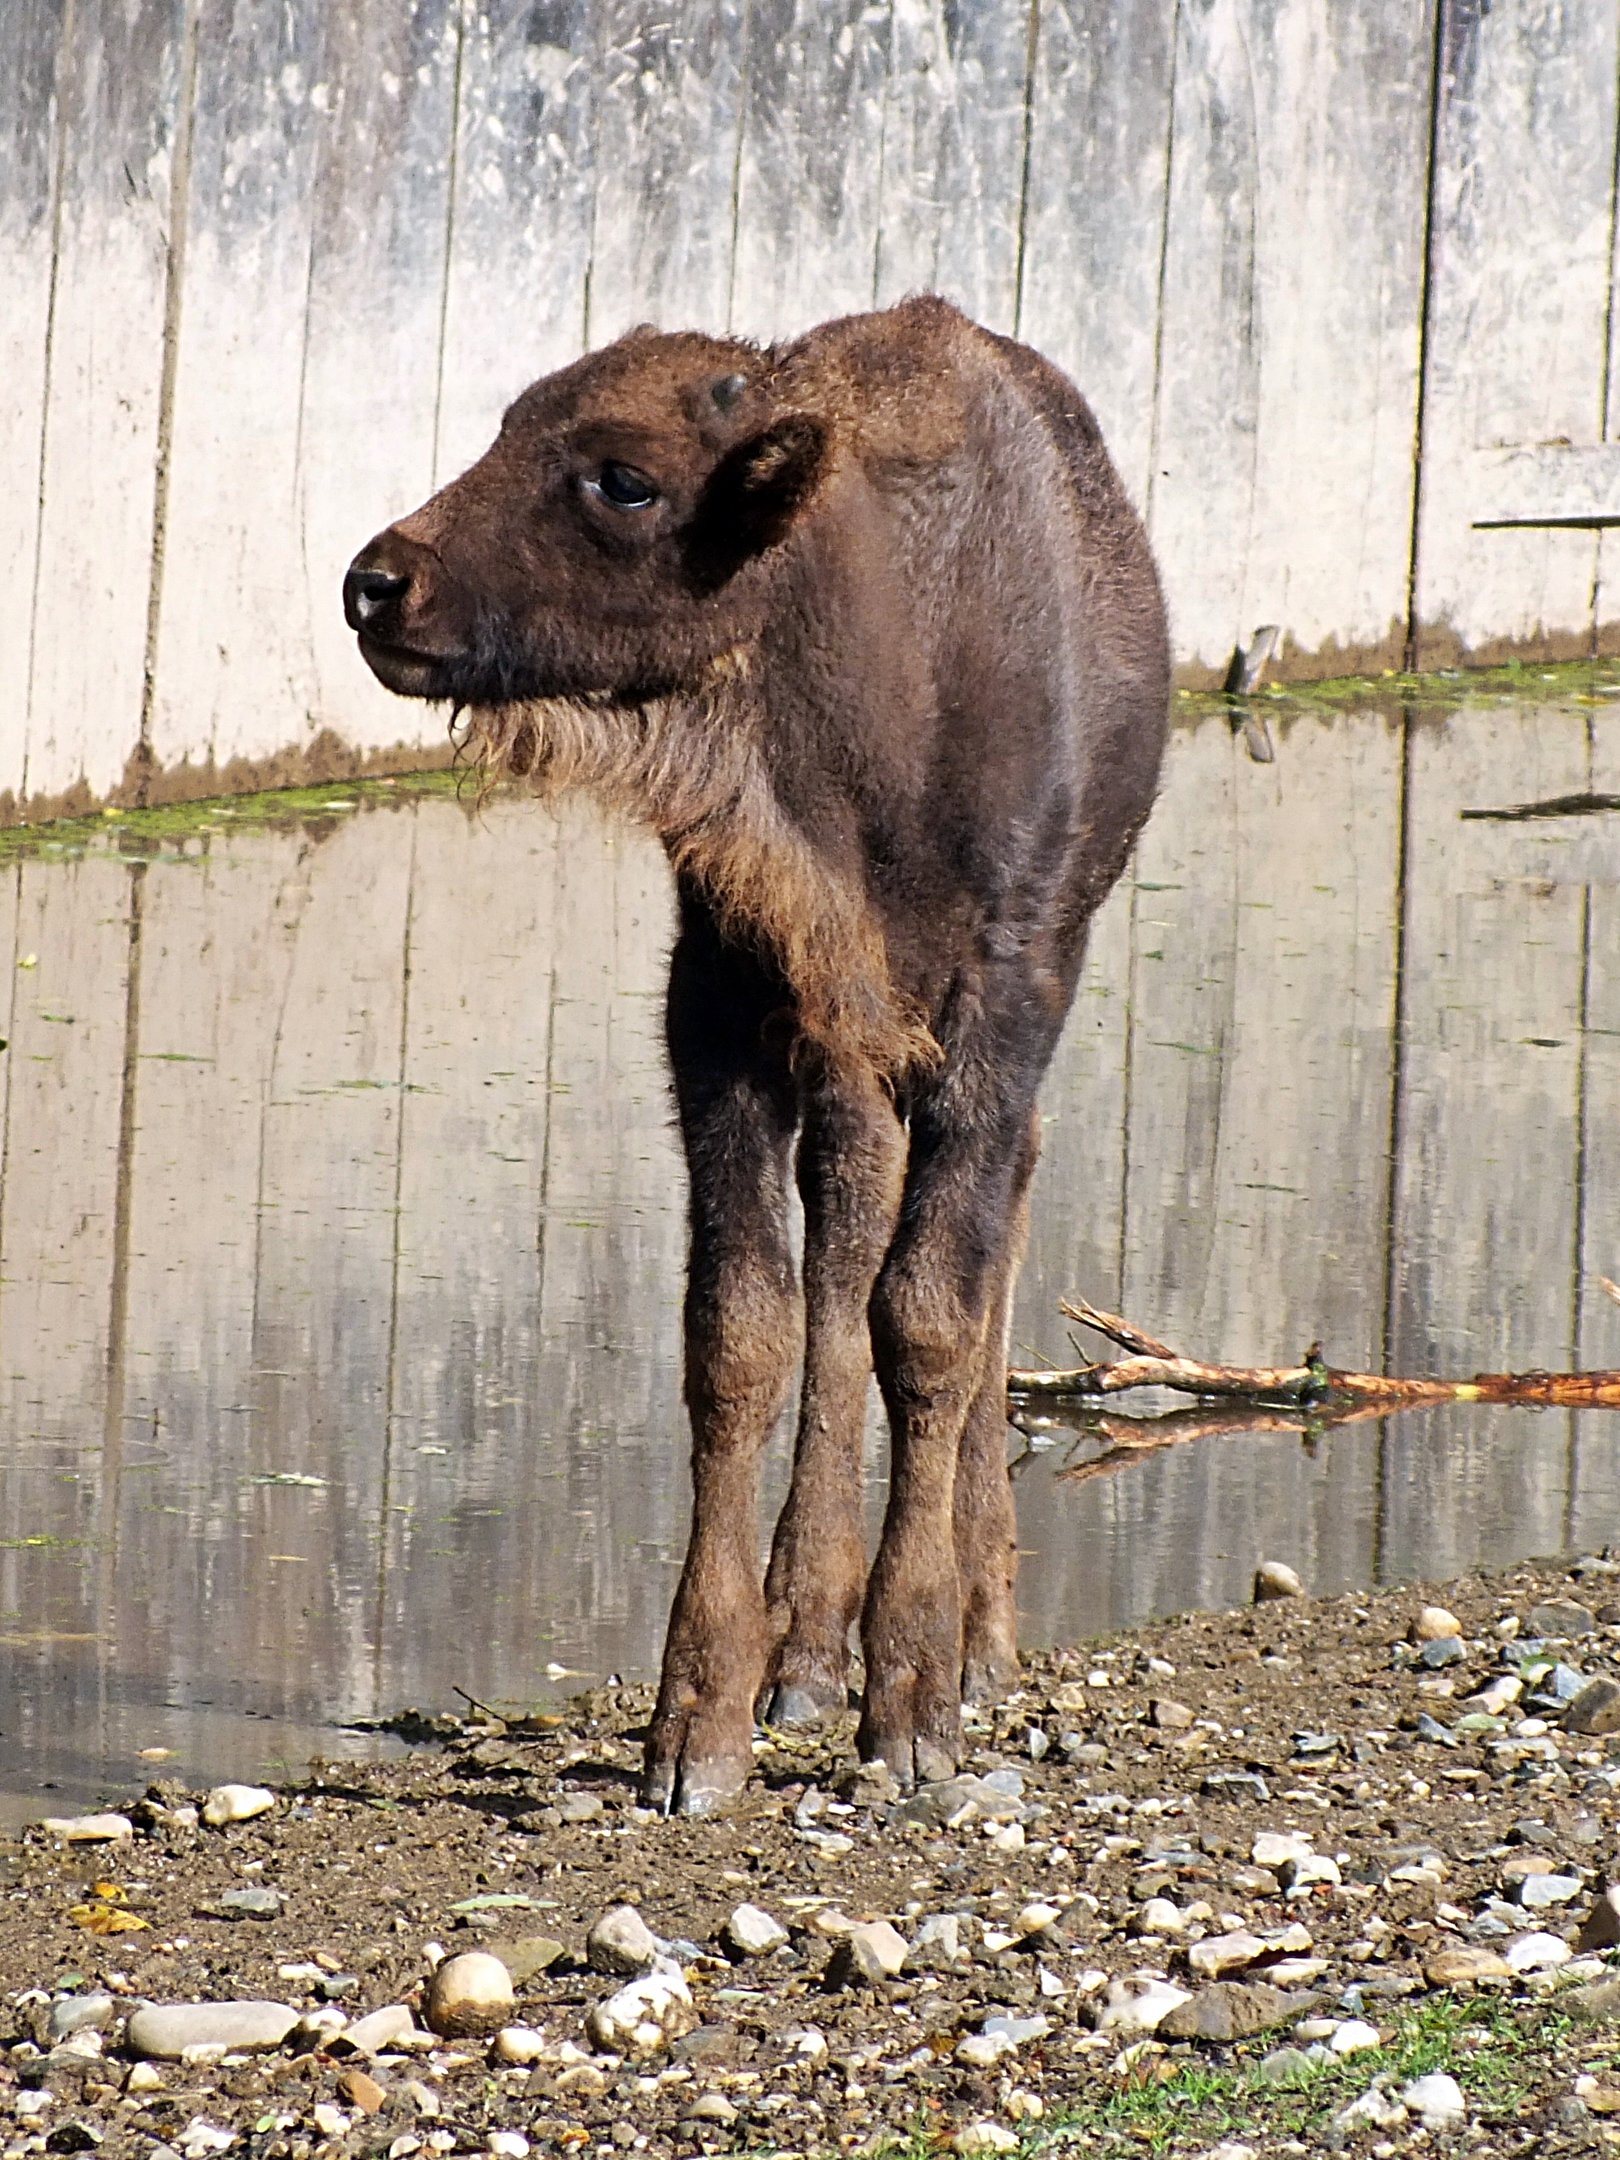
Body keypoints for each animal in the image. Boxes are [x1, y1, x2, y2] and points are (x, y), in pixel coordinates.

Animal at [344, 295, 1169, 1814]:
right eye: (510, 425)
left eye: (623, 477)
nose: (379, 586)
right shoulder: (727, 1006)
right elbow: (745, 1328)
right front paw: (699, 1728)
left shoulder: (1000, 1008)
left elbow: (934, 1317)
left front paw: (914, 1707)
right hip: (842, 1058)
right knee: (841, 1249)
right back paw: (804, 1651)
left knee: (968, 1250)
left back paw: (977, 1639)